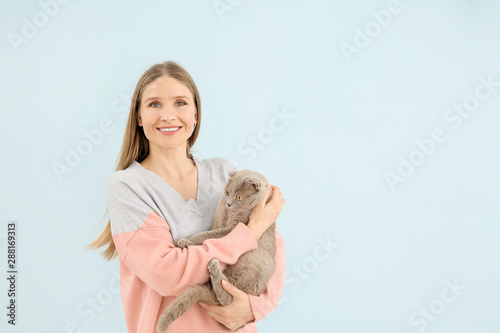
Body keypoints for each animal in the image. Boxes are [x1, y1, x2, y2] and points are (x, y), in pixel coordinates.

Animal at [156, 170, 276, 330]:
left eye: (239, 197)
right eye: (228, 192)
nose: (229, 203)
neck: (228, 212)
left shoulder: (233, 228)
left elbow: (207, 235)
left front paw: (187, 241)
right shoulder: (217, 222)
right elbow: (209, 236)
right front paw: (182, 242)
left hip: (258, 263)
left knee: (228, 297)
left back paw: (214, 268)